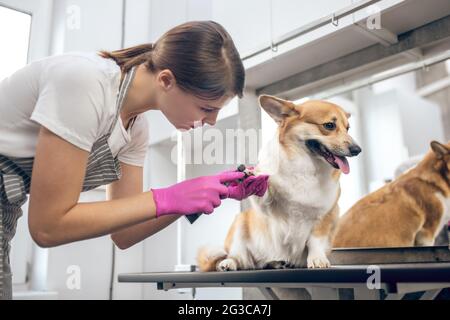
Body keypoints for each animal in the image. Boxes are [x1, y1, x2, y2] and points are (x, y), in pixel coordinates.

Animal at [197, 95, 362, 272]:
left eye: (348, 128)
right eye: (329, 125)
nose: (357, 150)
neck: (306, 168)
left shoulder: (326, 215)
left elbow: (316, 242)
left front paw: (317, 259)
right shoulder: (270, 208)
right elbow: (265, 189)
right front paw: (252, 175)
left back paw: (277, 263)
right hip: (239, 225)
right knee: (238, 257)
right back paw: (229, 263)